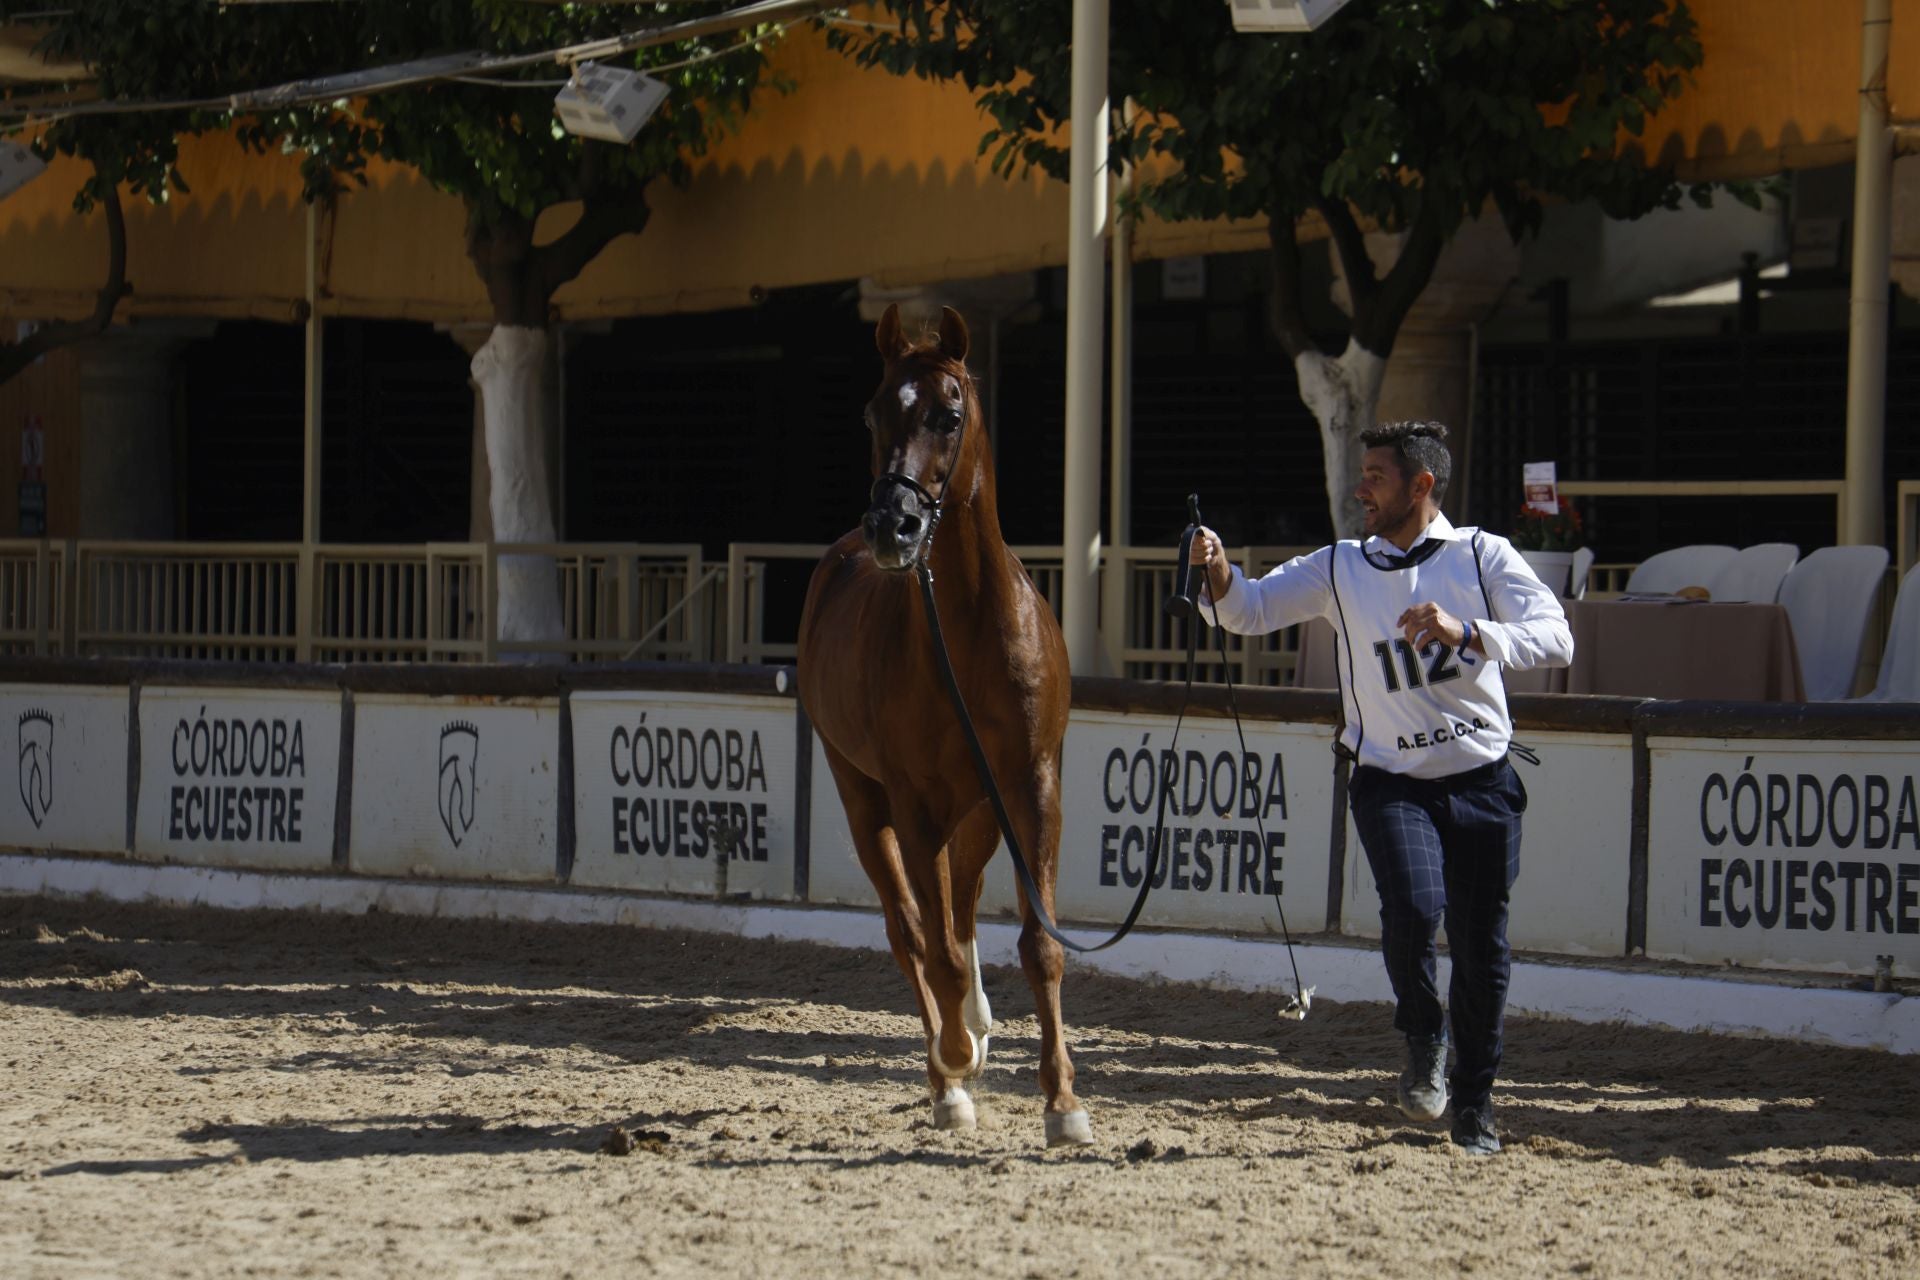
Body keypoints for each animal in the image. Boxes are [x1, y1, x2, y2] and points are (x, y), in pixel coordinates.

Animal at [796, 304, 1091, 1148]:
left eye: (948, 413)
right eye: (872, 412)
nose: (891, 526)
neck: (970, 633)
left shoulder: (1030, 789)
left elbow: (1039, 944)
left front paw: (1063, 1100)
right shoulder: (915, 804)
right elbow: (937, 953)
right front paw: (953, 1064)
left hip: (981, 813)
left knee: (958, 908)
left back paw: (981, 1029)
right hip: (865, 799)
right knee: (913, 931)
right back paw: (948, 1070)